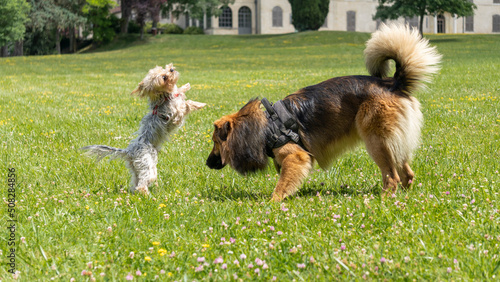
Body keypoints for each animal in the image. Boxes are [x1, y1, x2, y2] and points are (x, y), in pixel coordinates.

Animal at [82, 64, 205, 195]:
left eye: (163, 69)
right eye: (164, 77)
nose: (171, 69)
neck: (164, 97)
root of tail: (129, 152)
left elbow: (182, 93)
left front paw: (186, 87)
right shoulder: (176, 115)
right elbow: (187, 104)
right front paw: (200, 104)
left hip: (137, 168)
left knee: (136, 182)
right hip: (147, 165)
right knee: (143, 183)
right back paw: (147, 194)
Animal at [205, 24, 440, 200]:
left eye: (215, 142)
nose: (207, 163)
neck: (266, 128)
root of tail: (393, 83)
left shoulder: (296, 157)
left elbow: (280, 187)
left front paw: (272, 203)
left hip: (377, 141)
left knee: (392, 177)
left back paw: (382, 200)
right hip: (392, 143)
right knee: (407, 174)